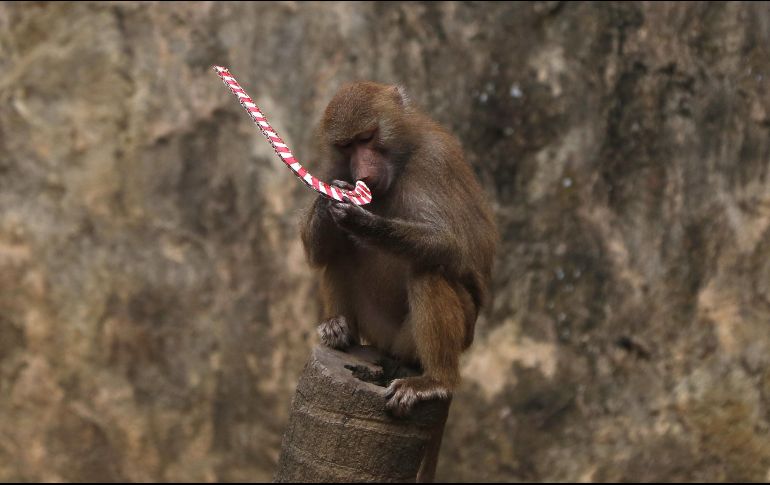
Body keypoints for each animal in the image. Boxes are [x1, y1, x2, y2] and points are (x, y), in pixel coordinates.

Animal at [296, 81, 496, 414]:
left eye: (367, 138)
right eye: (347, 146)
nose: (363, 171)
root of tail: (388, 347)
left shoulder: (434, 161)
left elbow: (449, 244)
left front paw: (361, 221)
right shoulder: (333, 166)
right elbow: (317, 252)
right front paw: (331, 198)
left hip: (422, 340)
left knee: (428, 271)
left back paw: (436, 381)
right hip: (376, 328)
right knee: (338, 254)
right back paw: (340, 330)